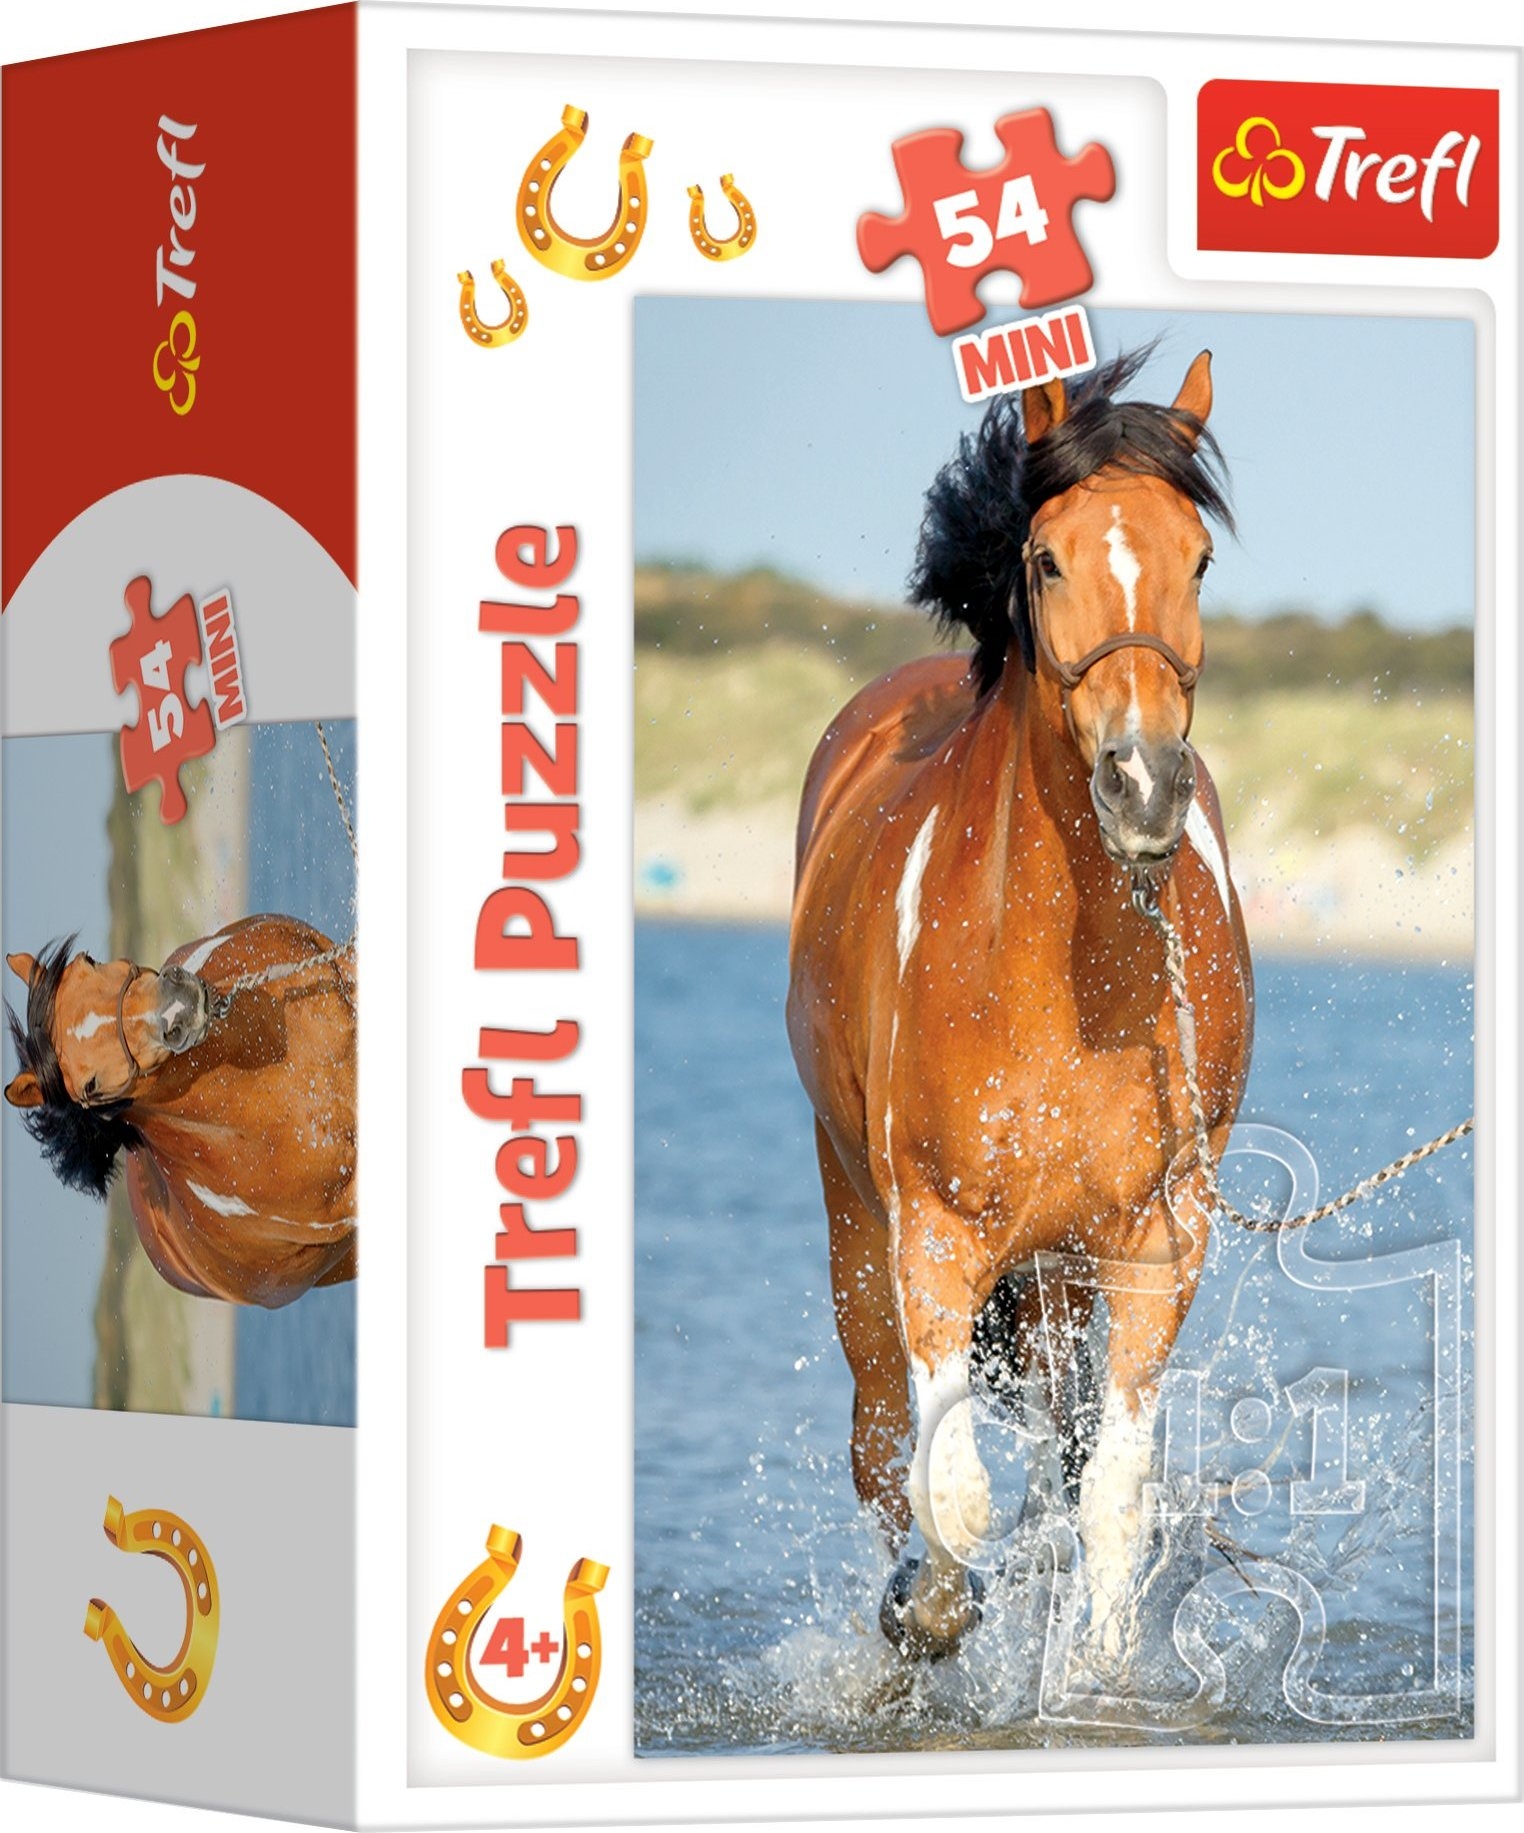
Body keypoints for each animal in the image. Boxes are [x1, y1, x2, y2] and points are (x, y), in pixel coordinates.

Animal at [786, 348, 1253, 1663]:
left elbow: (1111, 1499)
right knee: (880, 1443)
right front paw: (926, 1613)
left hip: (1058, 1273)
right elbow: (949, 1493)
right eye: (1047, 560)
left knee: (1059, 1447)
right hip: (857, 1220)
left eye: (1199, 559)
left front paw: (1098, 1677)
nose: (1144, 785)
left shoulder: (1155, 1244)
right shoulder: (935, 1239)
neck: (1060, 968)